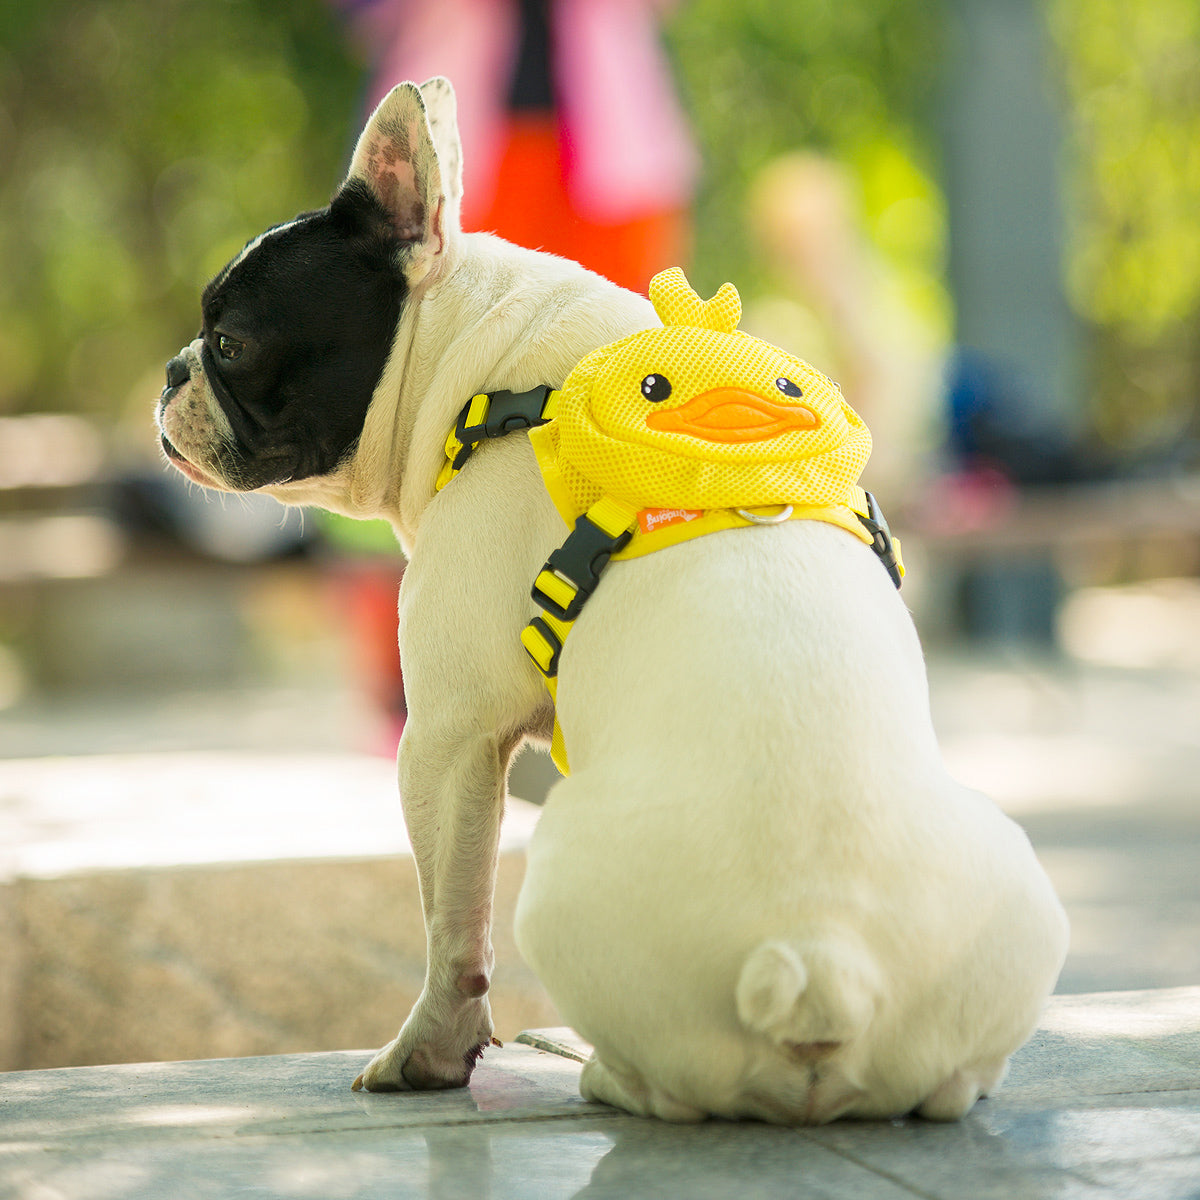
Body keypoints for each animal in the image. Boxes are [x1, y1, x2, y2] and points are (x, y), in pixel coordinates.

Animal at [154, 77, 1065, 1123]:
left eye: (230, 342)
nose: (172, 370)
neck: (485, 366)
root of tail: (818, 961)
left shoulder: (447, 739)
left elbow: (451, 926)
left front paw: (428, 1055)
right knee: (954, 1081)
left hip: (557, 872)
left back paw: (601, 1072)